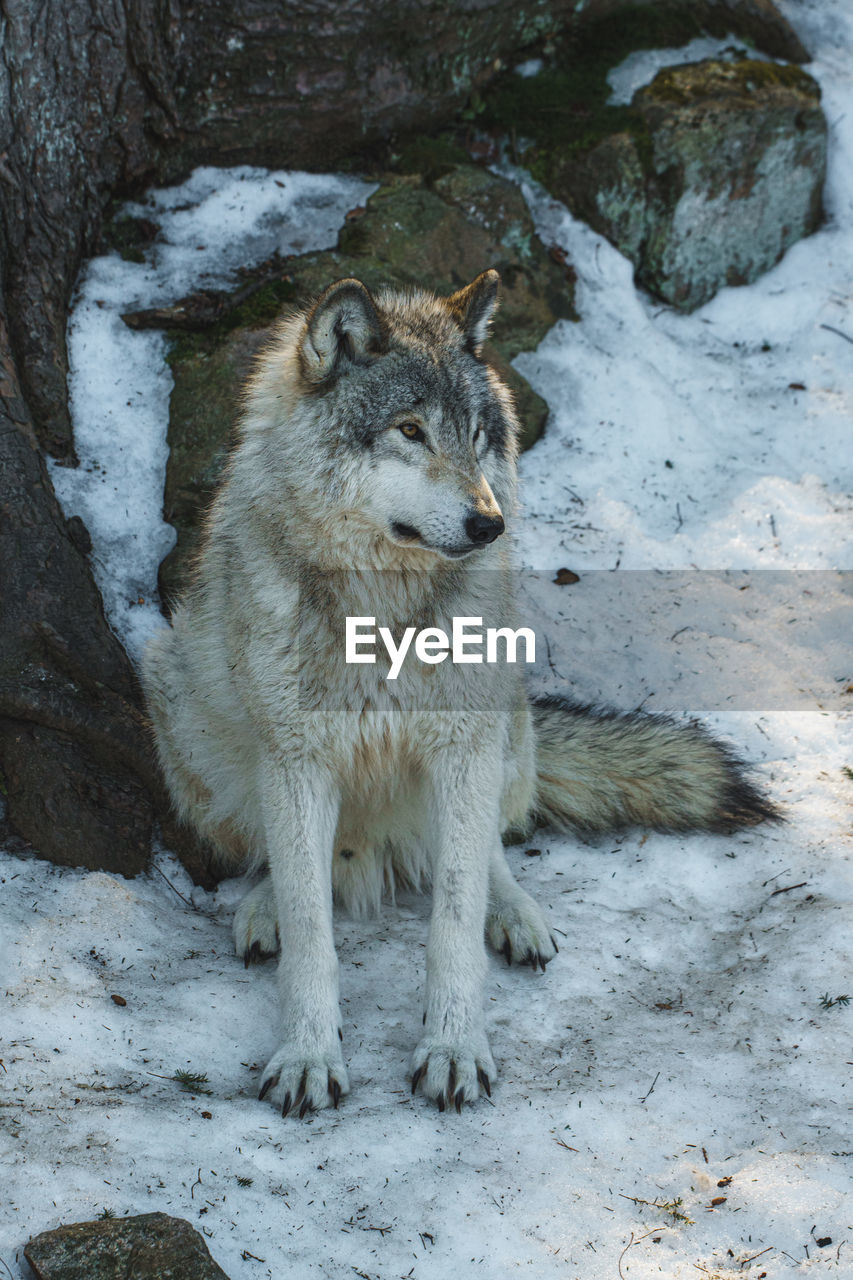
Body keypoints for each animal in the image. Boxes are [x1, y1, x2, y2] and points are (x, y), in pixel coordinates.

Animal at [140, 267, 778, 1111]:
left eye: (476, 435)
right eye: (410, 431)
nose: (489, 524)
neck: (380, 618)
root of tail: (373, 844)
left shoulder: (460, 750)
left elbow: (453, 916)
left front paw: (452, 1048)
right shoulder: (298, 761)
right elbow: (312, 931)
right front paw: (308, 1055)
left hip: (501, 719)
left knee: (488, 853)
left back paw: (515, 916)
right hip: (185, 704)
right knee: (284, 861)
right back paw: (265, 905)